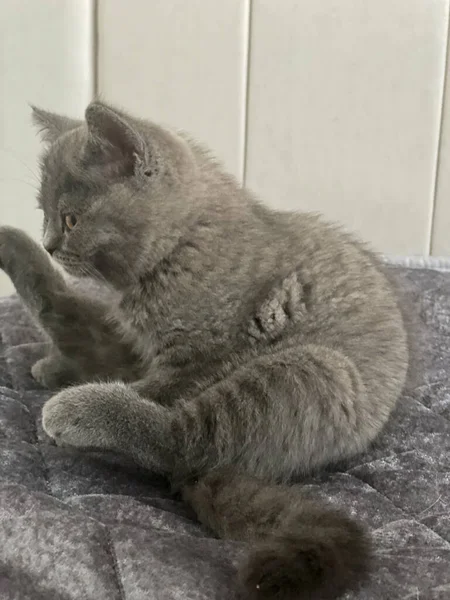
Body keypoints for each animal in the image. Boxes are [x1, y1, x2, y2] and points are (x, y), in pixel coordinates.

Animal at [0, 103, 412, 600]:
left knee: (183, 441)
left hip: (314, 373)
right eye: (43, 214)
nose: (48, 244)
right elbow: (78, 324)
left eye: (71, 220)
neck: (181, 249)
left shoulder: (196, 358)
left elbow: (151, 391)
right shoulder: (134, 343)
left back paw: (76, 410)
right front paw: (53, 359)